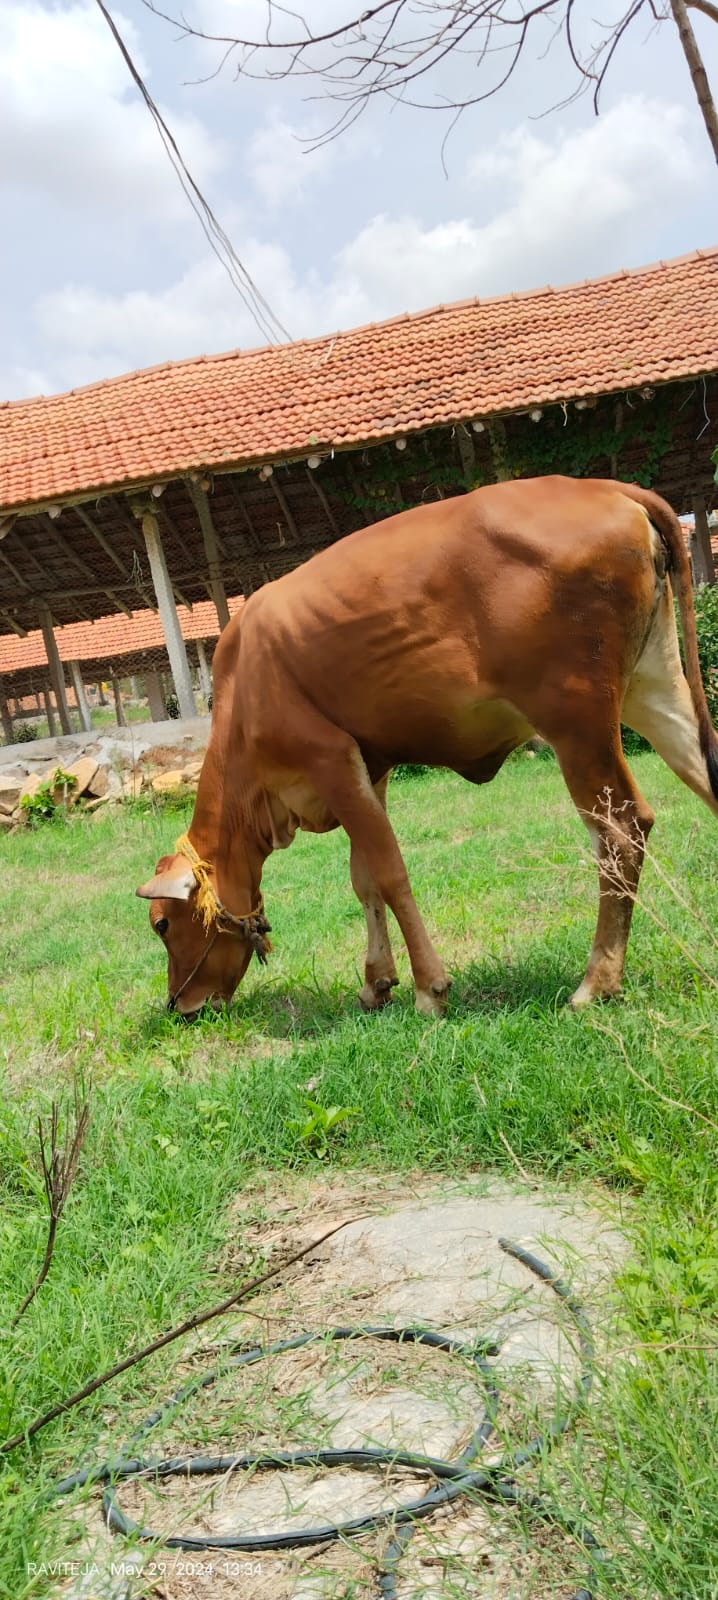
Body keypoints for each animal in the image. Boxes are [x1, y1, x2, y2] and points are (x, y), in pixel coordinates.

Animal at [136, 475, 718, 1019]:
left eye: (162, 924)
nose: (180, 1006)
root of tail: (604, 486)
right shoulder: (368, 768)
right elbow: (364, 879)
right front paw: (376, 982)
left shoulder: (327, 758)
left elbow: (390, 873)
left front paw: (428, 989)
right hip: (656, 689)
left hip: (577, 720)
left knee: (621, 829)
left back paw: (596, 981)